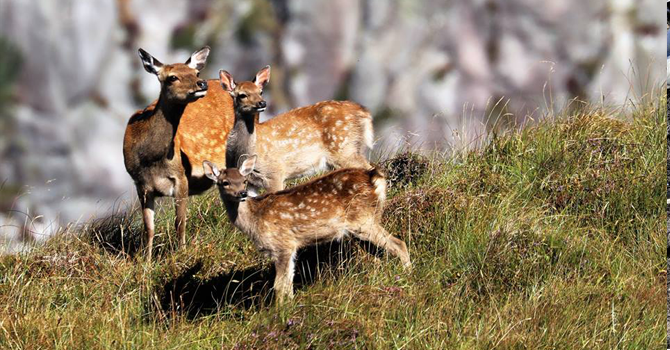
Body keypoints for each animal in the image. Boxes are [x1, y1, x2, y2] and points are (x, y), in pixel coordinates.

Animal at [123, 45, 236, 260]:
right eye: (172, 77)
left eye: (195, 73)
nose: (201, 83)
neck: (151, 160)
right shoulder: (140, 184)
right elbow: (148, 227)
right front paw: (146, 261)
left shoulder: (181, 177)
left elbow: (180, 222)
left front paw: (181, 253)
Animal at [202, 157, 412, 304]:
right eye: (225, 182)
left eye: (244, 180)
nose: (242, 193)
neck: (255, 220)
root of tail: (374, 177)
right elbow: (288, 283)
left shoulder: (283, 244)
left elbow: (279, 285)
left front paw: (279, 312)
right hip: (360, 227)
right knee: (379, 254)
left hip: (363, 221)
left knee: (399, 244)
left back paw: (407, 274)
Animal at [222, 65, 376, 194]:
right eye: (242, 95)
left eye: (261, 91)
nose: (262, 103)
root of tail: (362, 111)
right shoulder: (250, 181)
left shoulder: (274, 173)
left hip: (344, 148)